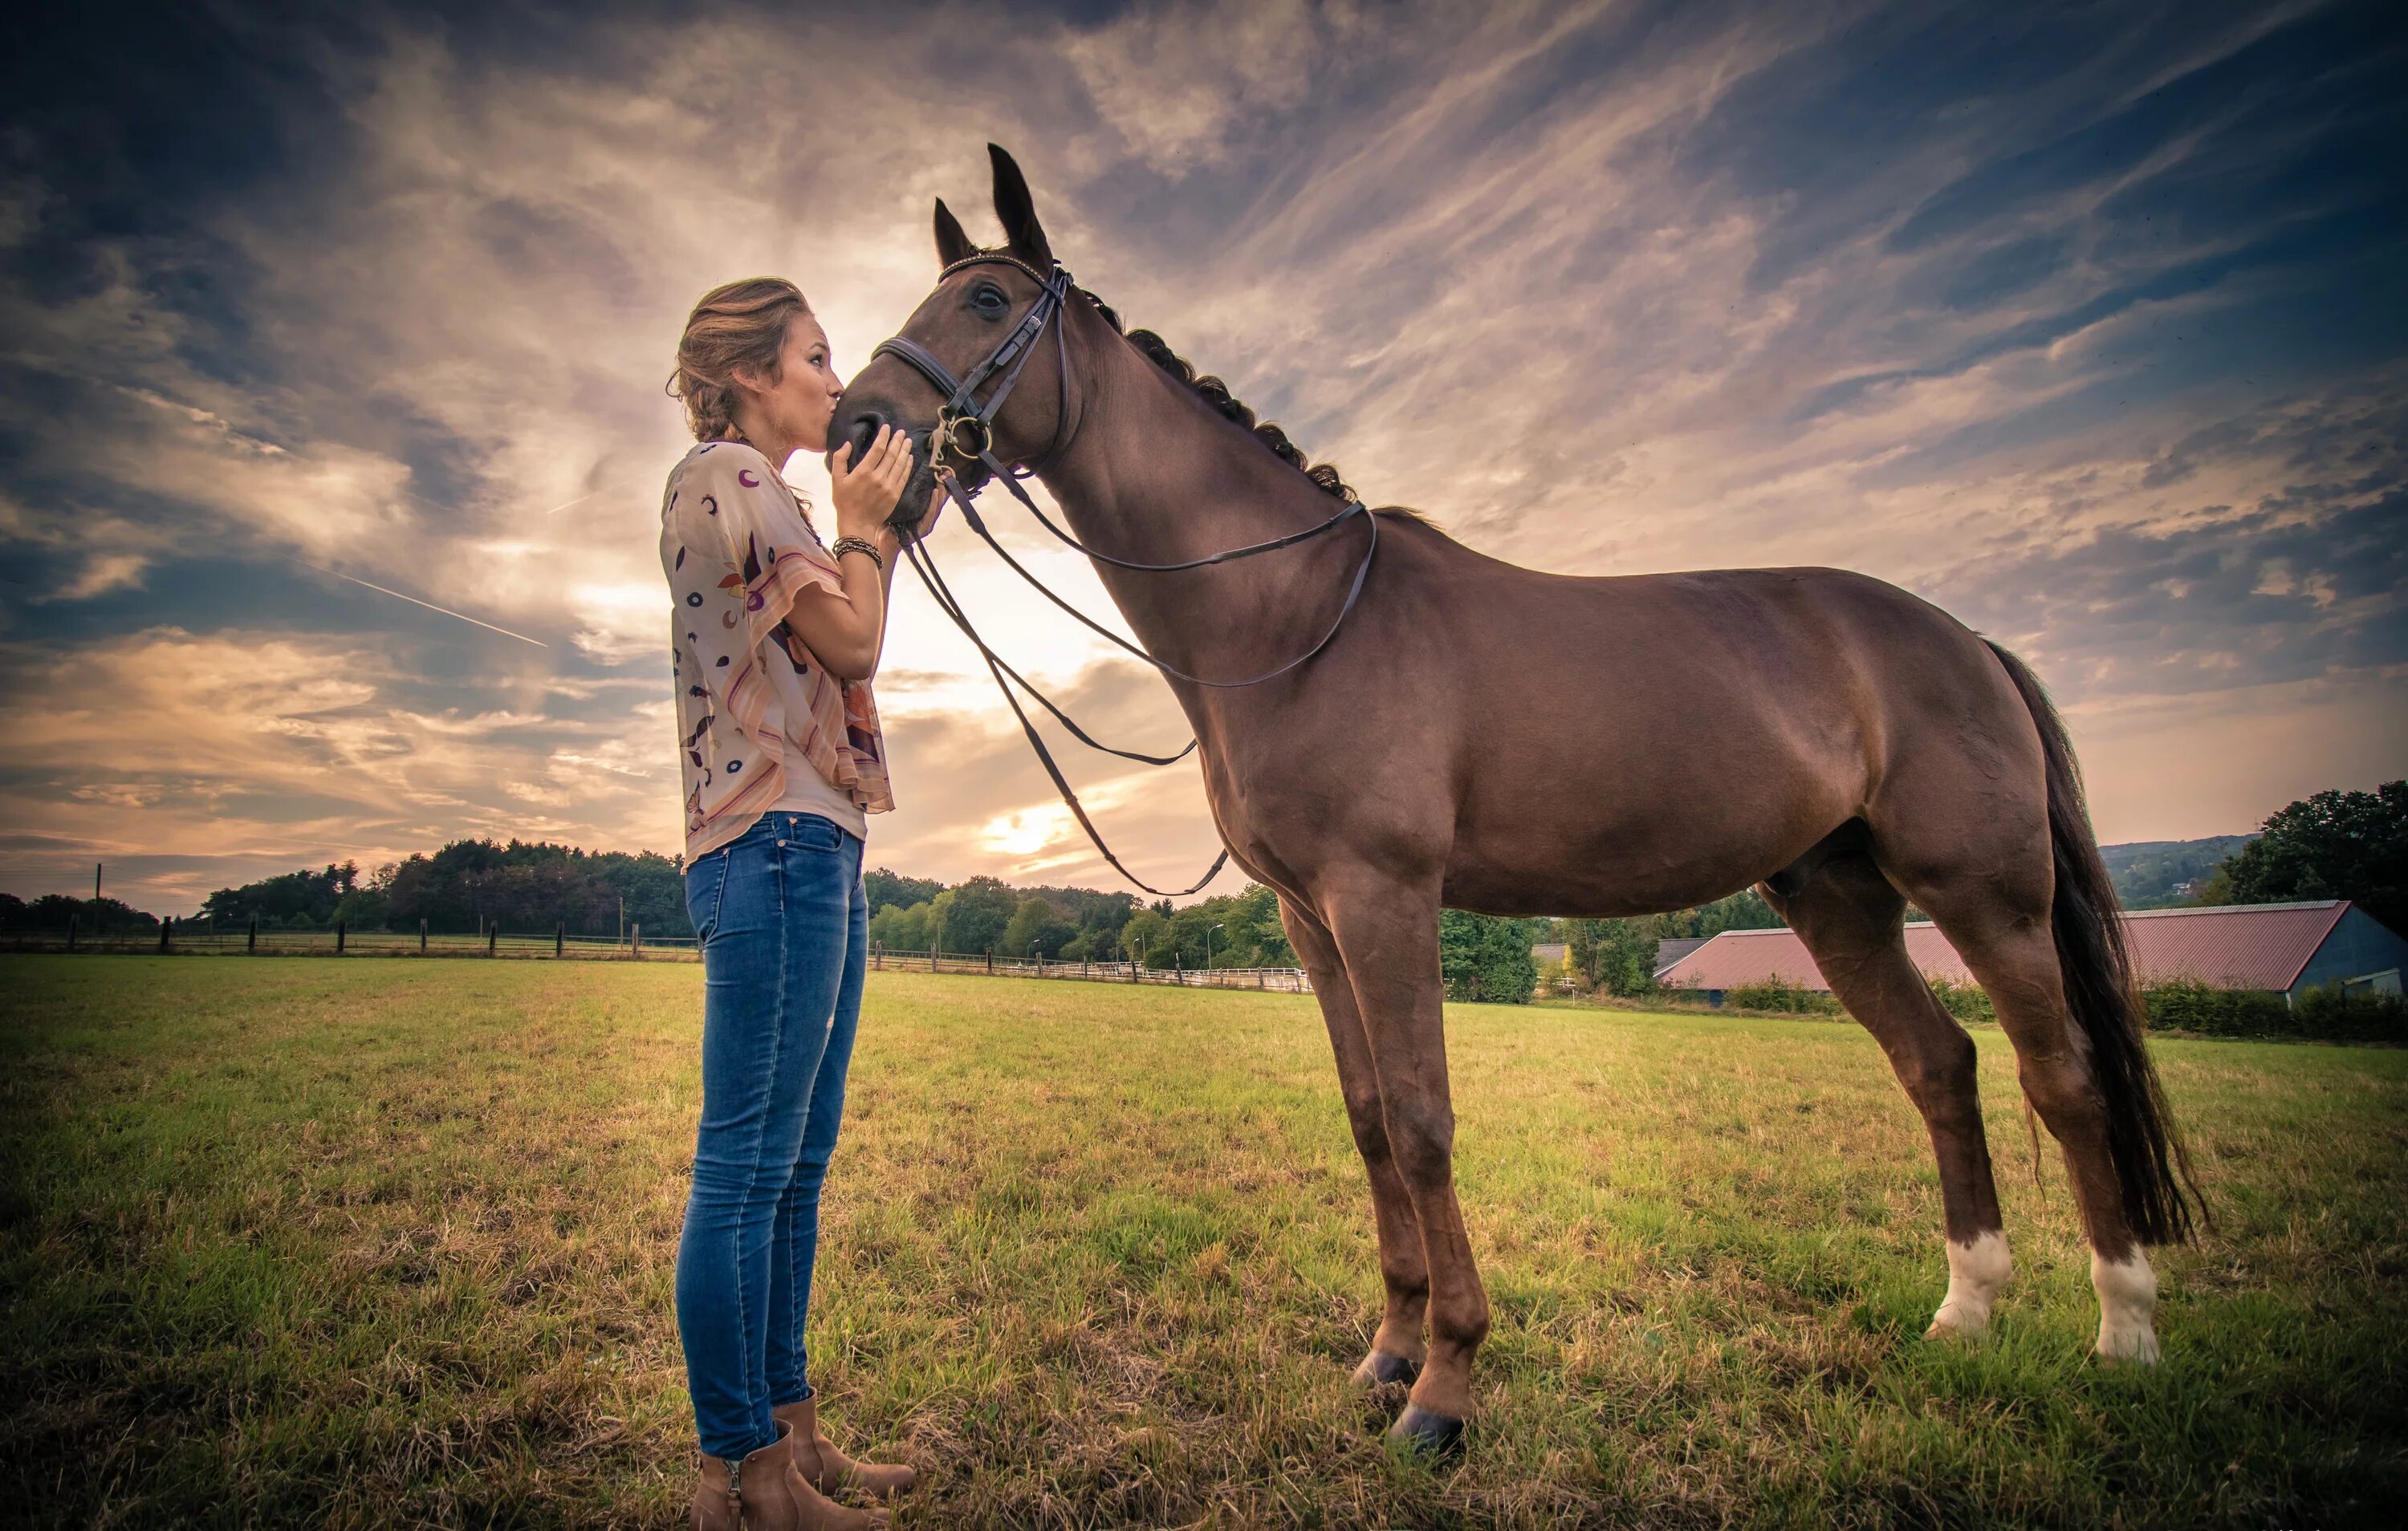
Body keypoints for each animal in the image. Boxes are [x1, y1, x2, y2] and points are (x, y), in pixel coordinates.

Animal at [833, 149, 2206, 1454]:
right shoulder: (1311, 920)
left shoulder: (1386, 898)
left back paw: (2125, 1335)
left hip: (1988, 897)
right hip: (1839, 899)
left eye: (987, 299)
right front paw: (1387, 1352)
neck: (1301, 618)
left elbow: (1425, 1124)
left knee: (2065, 1080)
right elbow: (1370, 1121)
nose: (854, 427)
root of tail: (1965, 640)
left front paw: (1444, 1388)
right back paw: (1965, 1312)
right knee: (1940, 1065)